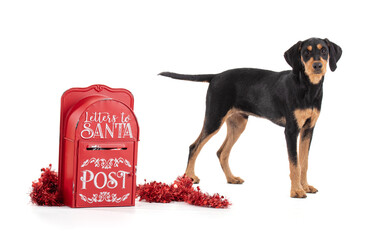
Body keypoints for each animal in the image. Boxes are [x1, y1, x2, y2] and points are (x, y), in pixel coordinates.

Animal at [160, 37, 342, 198]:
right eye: (305, 52)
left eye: (324, 51)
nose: (317, 65)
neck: (307, 88)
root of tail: (216, 76)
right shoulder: (291, 131)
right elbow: (294, 164)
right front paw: (296, 191)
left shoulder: (308, 129)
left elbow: (304, 163)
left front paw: (305, 186)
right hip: (214, 118)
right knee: (194, 146)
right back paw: (190, 176)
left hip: (238, 123)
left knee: (221, 152)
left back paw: (231, 178)